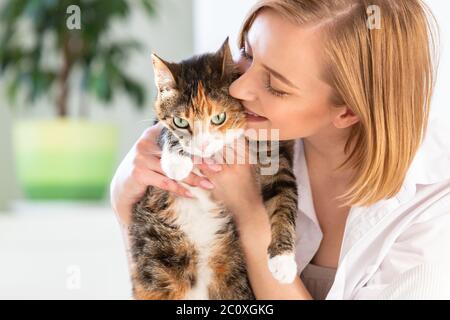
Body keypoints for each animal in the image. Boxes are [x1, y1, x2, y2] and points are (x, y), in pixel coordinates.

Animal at [128, 37, 298, 300]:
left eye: (219, 118)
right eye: (181, 122)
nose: (203, 144)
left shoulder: (274, 153)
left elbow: (283, 198)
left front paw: (283, 260)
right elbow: (163, 130)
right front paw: (176, 161)